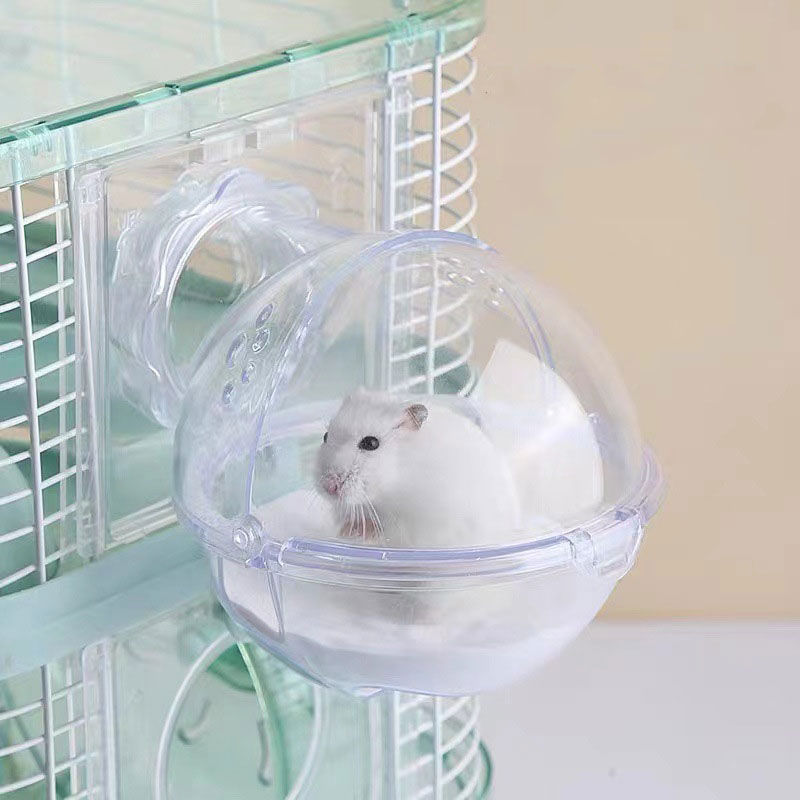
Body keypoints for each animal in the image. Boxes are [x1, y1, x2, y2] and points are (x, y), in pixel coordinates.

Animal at [315, 388, 520, 548]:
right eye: (325, 436)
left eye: (371, 443)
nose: (328, 486)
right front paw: (346, 530)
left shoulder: (419, 526)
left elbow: (390, 531)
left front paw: (363, 530)